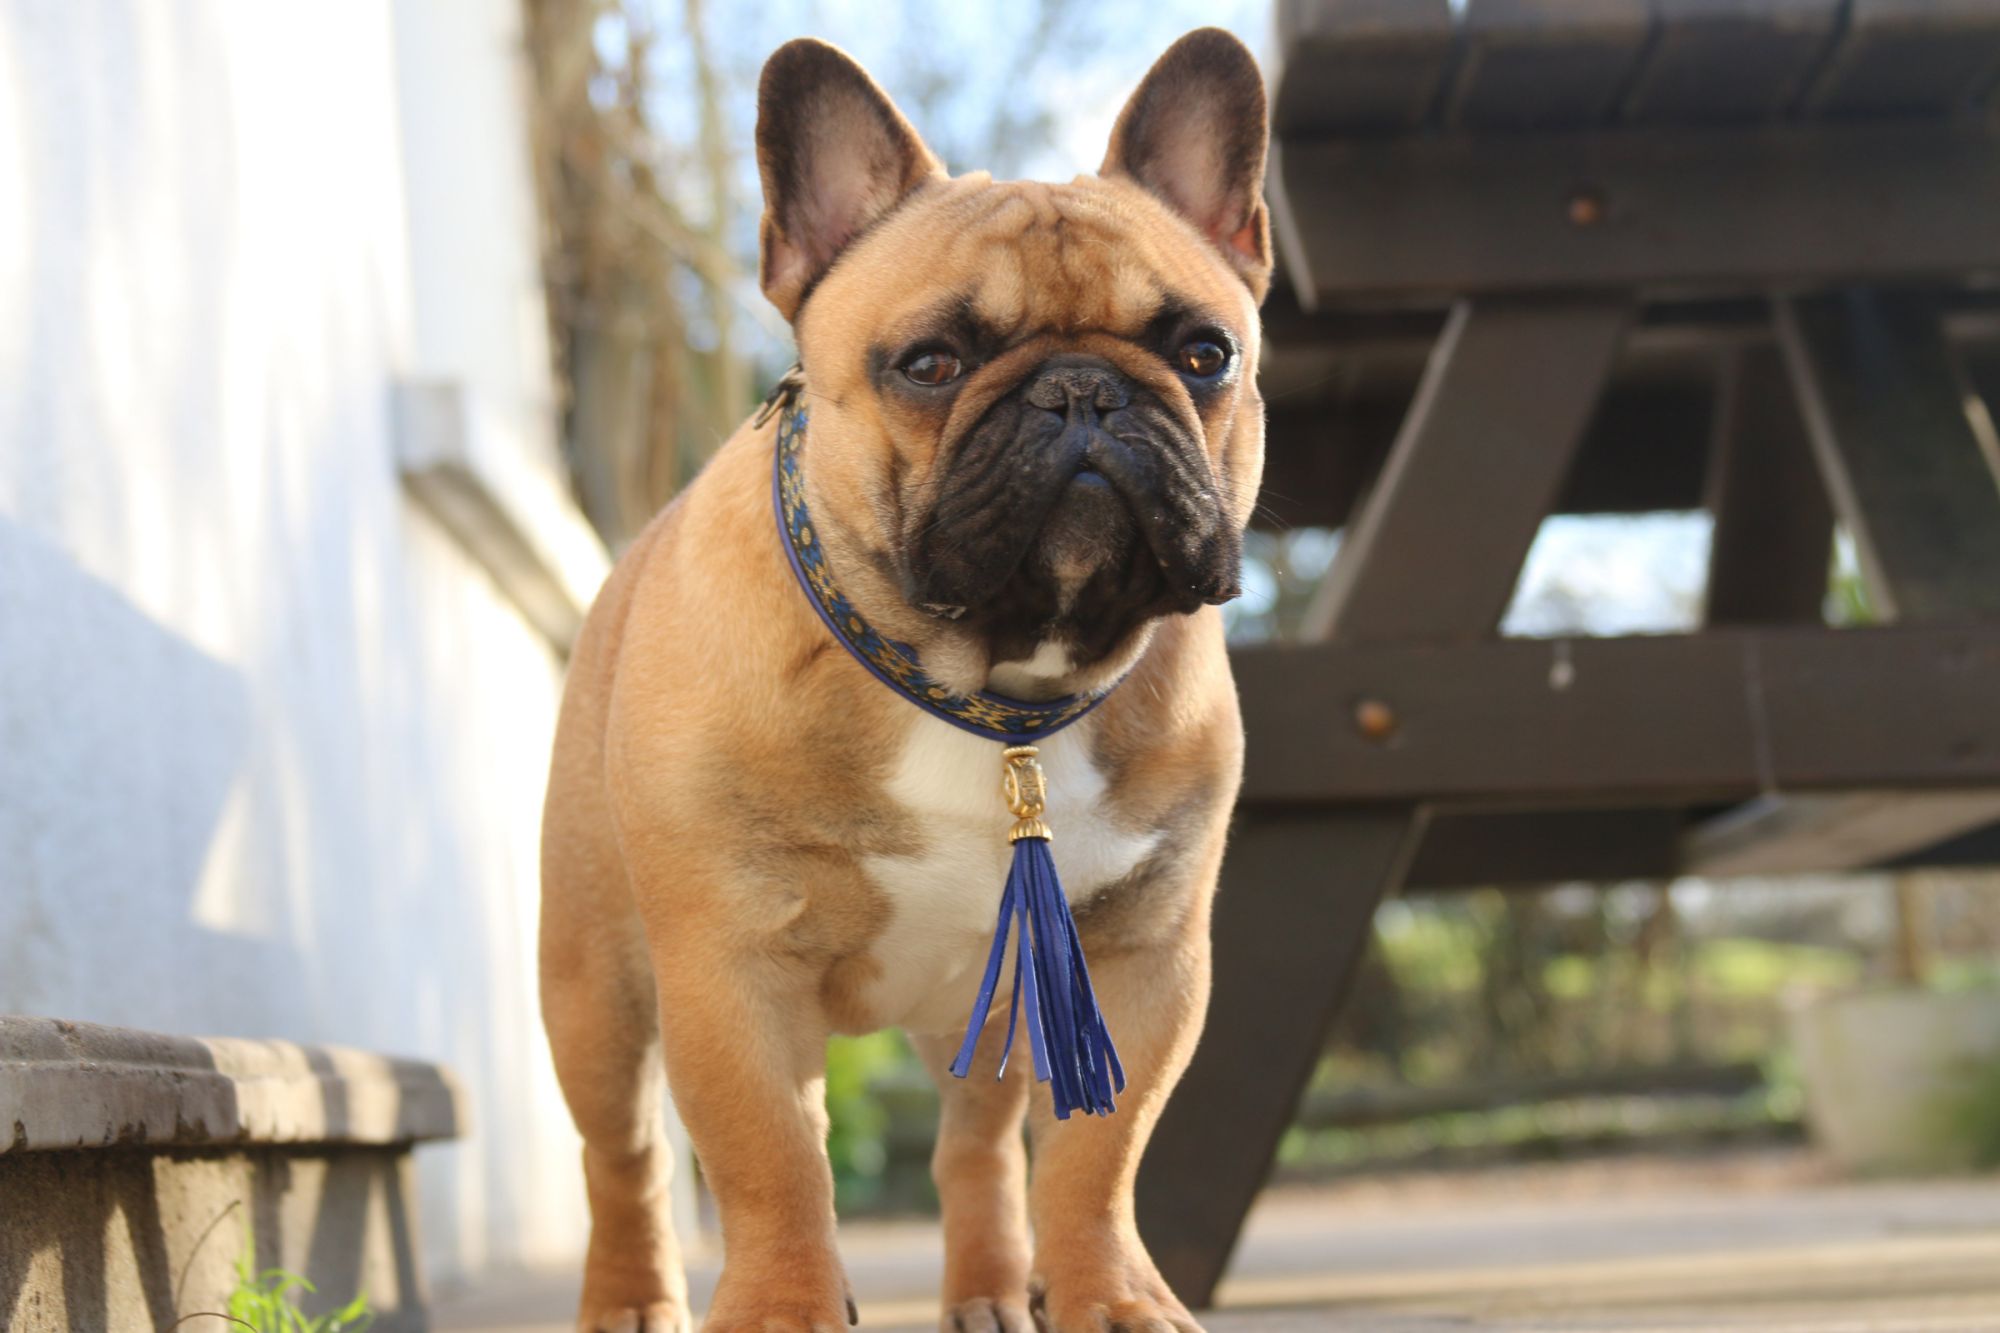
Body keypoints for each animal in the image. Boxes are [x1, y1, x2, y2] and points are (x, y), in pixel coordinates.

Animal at [539, 27, 1270, 1333]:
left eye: (1204, 353)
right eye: (929, 363)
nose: (1080, 390)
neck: (985, 683)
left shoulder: (1137, 962)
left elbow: (1094, 1159)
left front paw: (1108, 1297)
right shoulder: (730, 966)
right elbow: (772, 1161)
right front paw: (783, 1309)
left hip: (993, 993)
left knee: (975, 1144)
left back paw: (986, 1290)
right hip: (593, 983)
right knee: (620, 1154)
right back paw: (626, 1299)